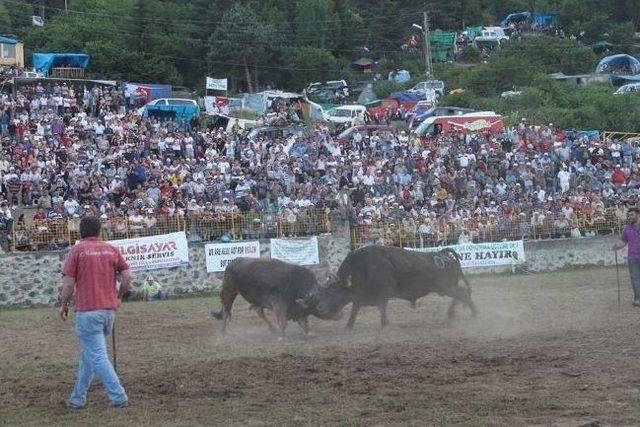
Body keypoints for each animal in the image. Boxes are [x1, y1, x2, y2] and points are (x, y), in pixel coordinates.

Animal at [318, 246, 478, 330]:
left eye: (332, 291)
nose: (321, 308)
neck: (363, 266)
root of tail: (442, 255)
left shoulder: (385, 291)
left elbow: (381, 307)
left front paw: (385, 324)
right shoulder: (360, 296)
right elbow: (355, 309)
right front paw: (348, 326)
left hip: (446, 287)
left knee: (463, 294)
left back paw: (471, 314)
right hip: (446, 288)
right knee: (462, 294)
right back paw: (454, 314)